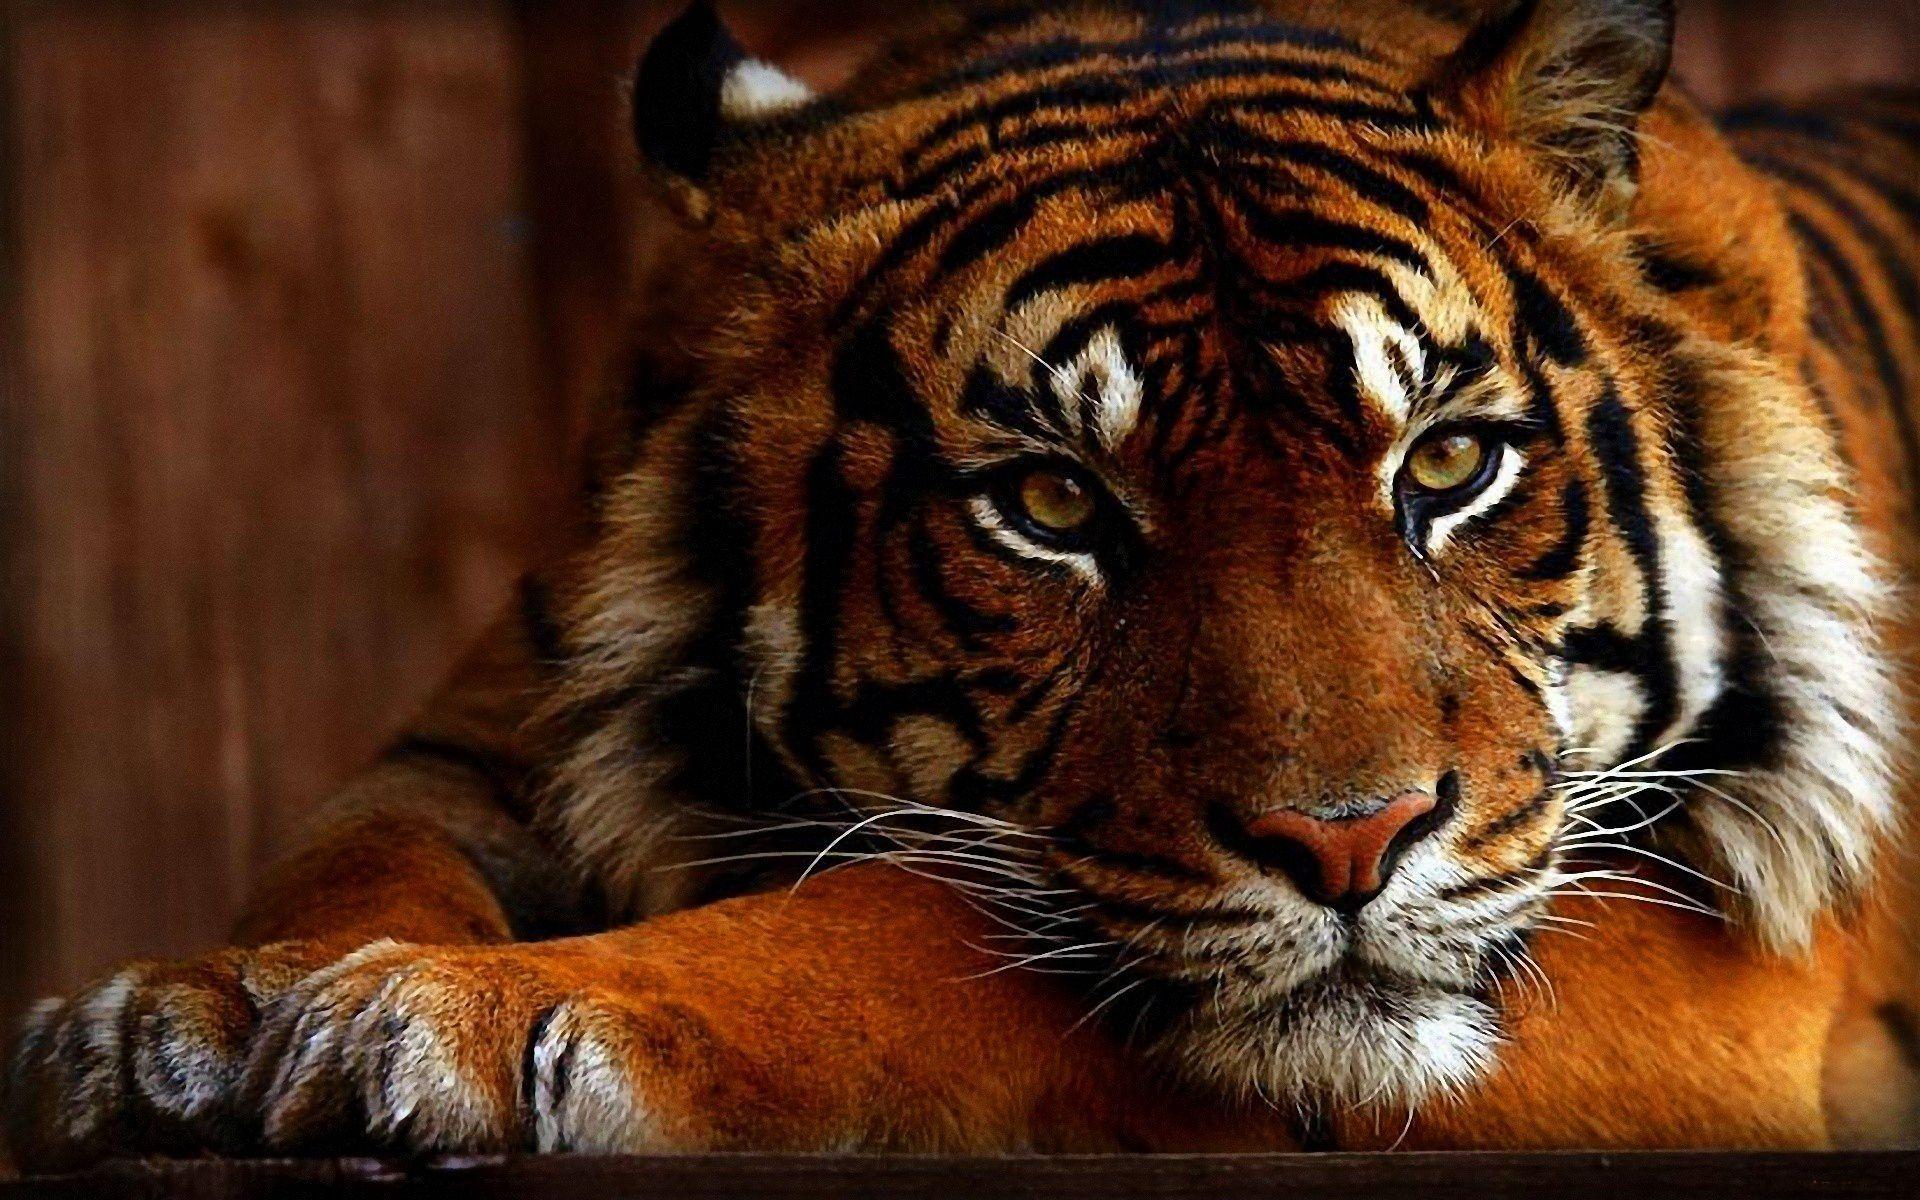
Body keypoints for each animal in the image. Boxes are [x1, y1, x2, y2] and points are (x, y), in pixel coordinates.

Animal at [8, 0, 1920, 1166]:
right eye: (1053, 503)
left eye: (1447, 465)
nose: (1352, 845)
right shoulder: (483, 737)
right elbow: (349, 857)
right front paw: (184, 1019)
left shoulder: (1710, 944)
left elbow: (911, 925)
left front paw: (480, 1017)